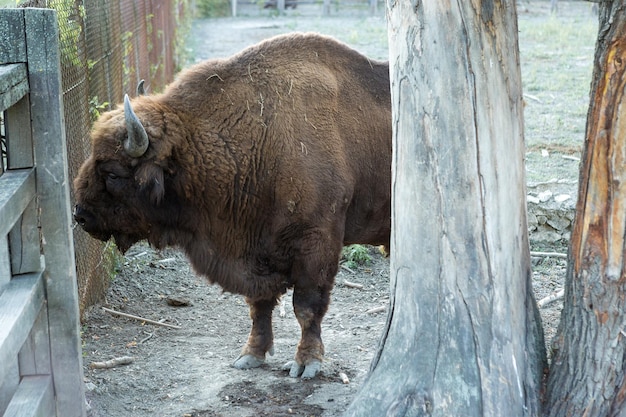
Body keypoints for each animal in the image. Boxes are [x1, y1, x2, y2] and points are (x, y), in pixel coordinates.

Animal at [74, 32, 390, 376]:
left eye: (112, 173)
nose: (80, 215)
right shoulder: (255, 249)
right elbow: (259, 306)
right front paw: (250, 355)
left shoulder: (317, 244)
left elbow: (307, 307)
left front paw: (307, 363)